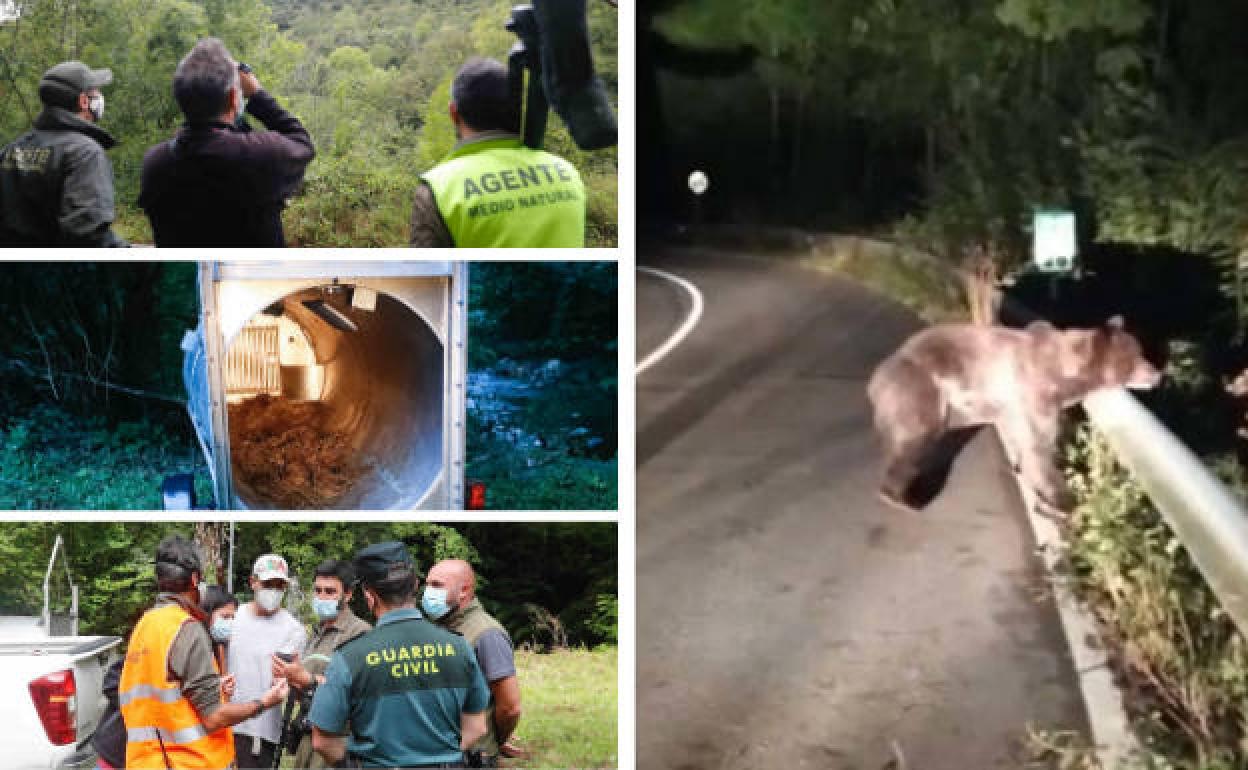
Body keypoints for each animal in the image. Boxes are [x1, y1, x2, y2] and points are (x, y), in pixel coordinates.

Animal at [868, 315, 1158, 514]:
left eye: (1142, 352)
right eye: (1136, 358)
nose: (1157, 374)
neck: (1065, 376)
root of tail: (874, 381)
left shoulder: (1013, 406)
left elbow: (1023, 440)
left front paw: (1023, 471)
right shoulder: (1034, 392)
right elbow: (1039, 447)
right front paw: (1064, 499)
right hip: (920, 389)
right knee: (915, 439)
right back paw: (903, 498)